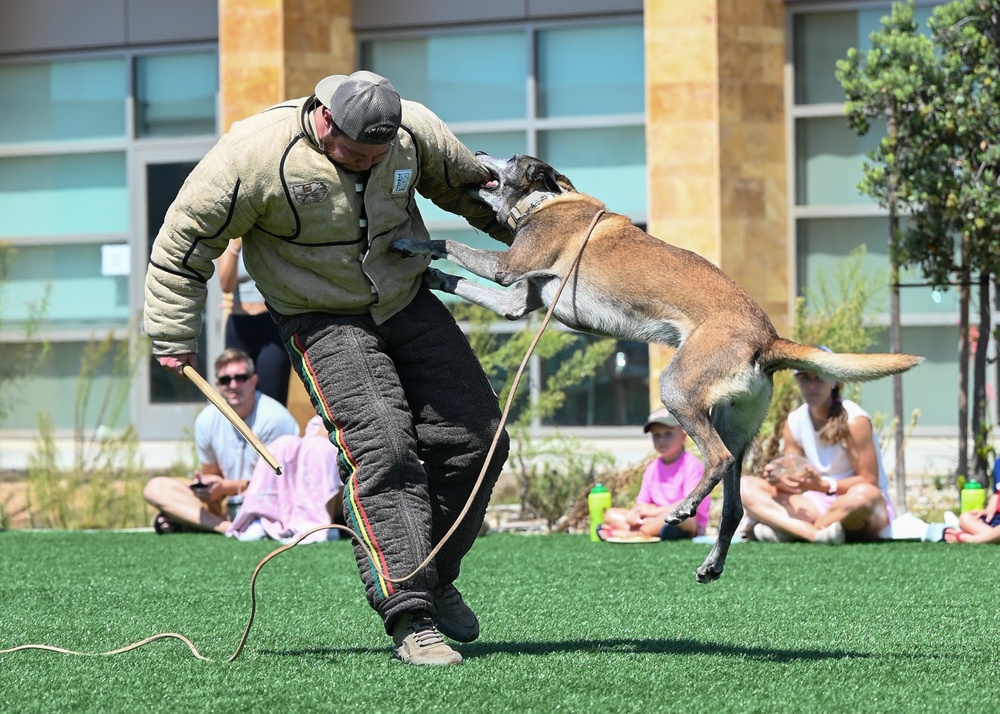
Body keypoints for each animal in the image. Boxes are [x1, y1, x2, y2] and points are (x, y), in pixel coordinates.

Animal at [390, 153, 920, 580]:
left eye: (510, 158)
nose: (478, 150)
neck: (545, 201)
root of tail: (768, 340)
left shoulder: (507, 268)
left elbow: (452, 245)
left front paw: (412, 247)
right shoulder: (517, 303)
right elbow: (468, 284)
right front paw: (433, 277)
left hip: (678, 392)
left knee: (715, 460)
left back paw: (681, 510)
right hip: (733, 423)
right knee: (733, 506)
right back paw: (712, 563)